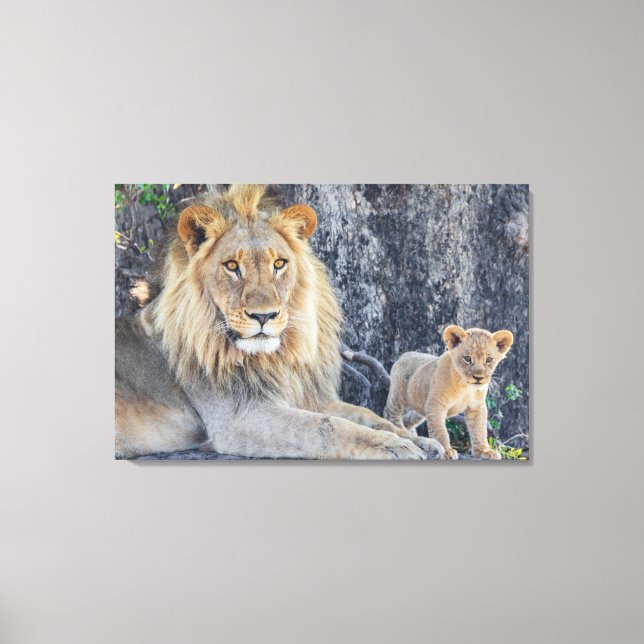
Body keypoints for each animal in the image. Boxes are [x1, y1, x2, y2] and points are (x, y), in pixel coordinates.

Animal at [116, 185, 444, 459]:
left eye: (279, 264)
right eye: (232, 266)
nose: (264, 316)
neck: (275, 358)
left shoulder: (308, 397)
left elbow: (368, 415)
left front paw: (419, 440)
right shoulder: (240, 418)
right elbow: (328, 427)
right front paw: (394, 446)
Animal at [383, 325, 514, 460]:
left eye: (489, 359)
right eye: (467, 358)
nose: (478, 377)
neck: (465, 386)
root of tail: (404, 354)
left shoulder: (476, 406)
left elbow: (479, 429)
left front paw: (484, 450)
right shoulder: (435, 405)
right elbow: (440, 430)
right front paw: (446, 450)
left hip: (420, 407)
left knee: (408, 419)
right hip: (398, 395)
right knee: (390, 413)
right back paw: (400, 431)